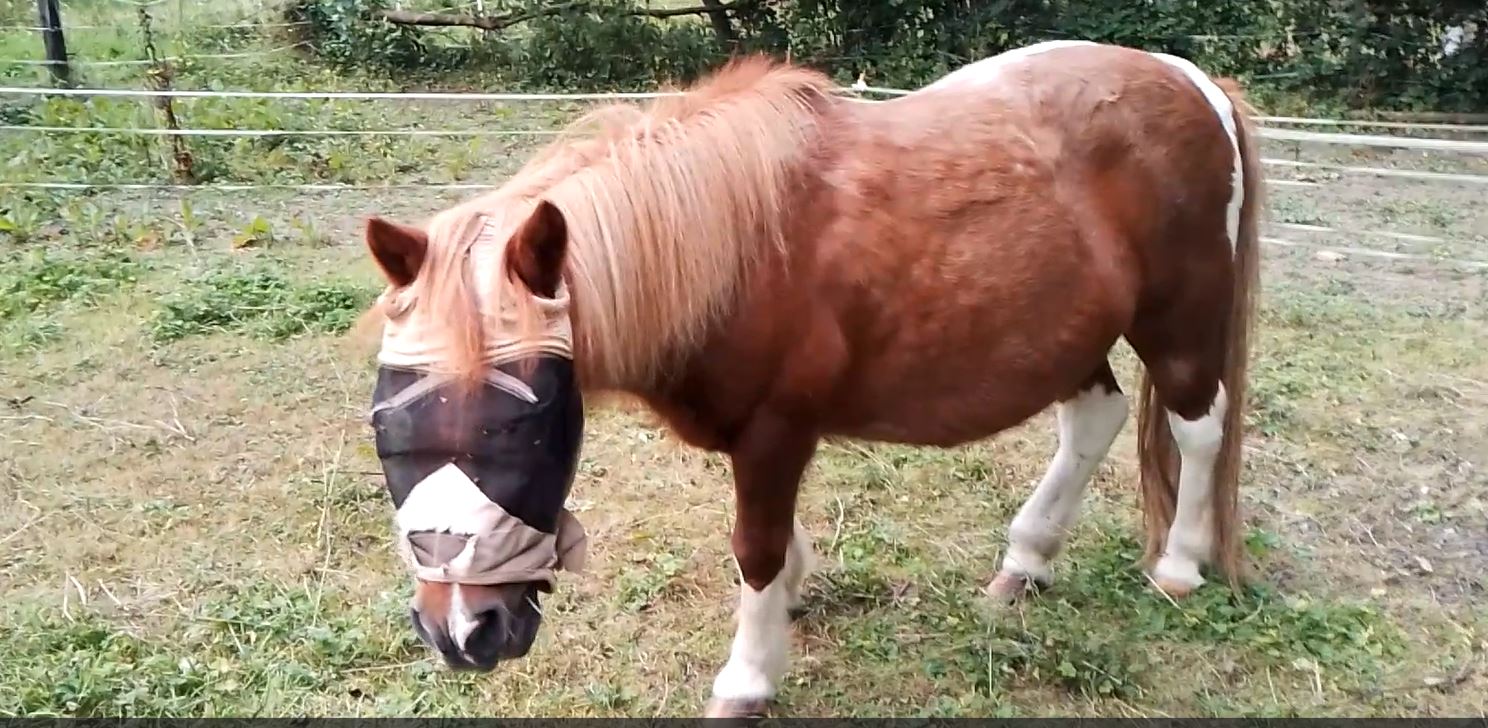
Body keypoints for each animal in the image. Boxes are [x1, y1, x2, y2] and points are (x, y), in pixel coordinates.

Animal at [358, 39, 1263, 717]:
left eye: (529, 420)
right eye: (385, 426)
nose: (461, 632)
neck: (731, 243)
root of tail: (1195, 84)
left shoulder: (775, 431)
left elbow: (754, 546)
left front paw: (749, 676)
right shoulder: (761, 436)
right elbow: (772, 540)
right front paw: (791, 597)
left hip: (1179, 319)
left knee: (1198, 427)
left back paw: (1180, 566)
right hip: (1068, 334)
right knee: (1094, 419)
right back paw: (1027, 559)